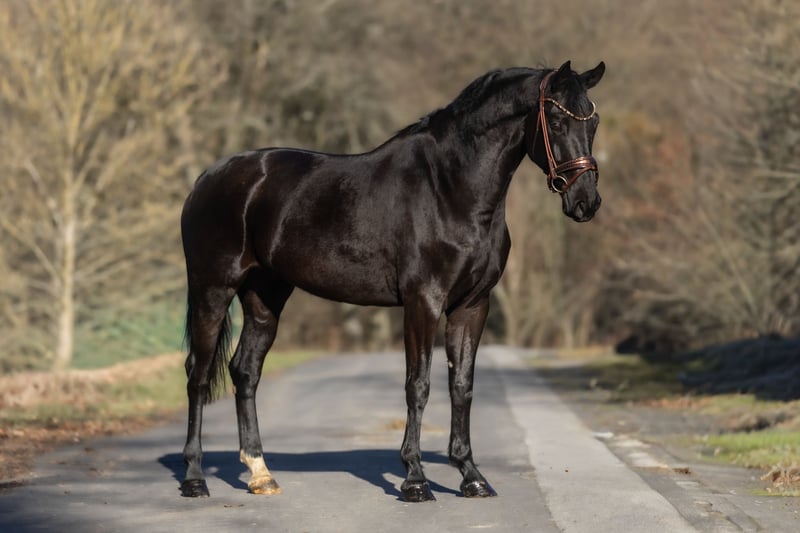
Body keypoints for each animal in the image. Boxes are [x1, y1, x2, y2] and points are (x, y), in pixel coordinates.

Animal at [180, 60, 605, 502]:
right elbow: (418, 385)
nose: (586, 202)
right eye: (556, 120)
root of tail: (207, 179)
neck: (449, 187)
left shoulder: (472, 305)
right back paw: (194, 478)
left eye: (593, 121)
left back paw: (260, 473)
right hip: (212, 289)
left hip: (265, 295)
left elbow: (462, 385)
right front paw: (415, 479)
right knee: (197, 373)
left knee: (245, 371)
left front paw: (471, 476)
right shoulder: (423, 302)